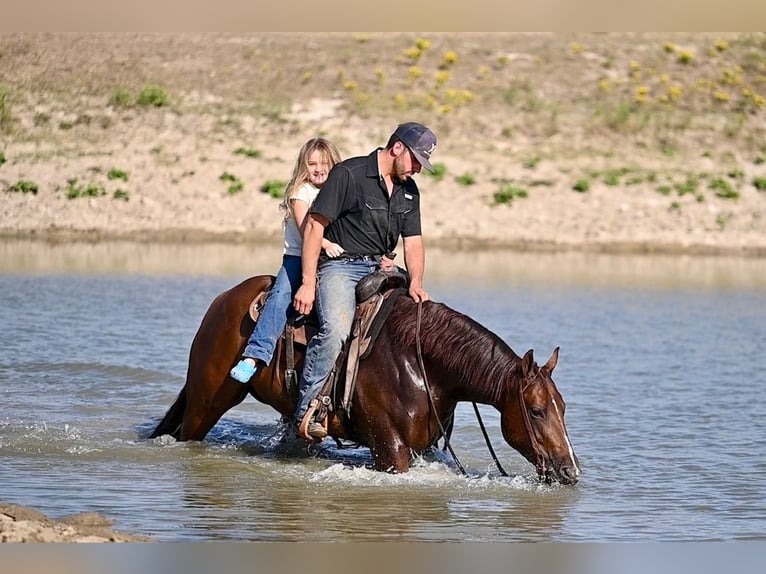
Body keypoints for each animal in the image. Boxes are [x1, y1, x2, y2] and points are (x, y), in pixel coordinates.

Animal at [150, 276, 584, 486]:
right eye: (536, 410)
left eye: (563, 408)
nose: (570, 472)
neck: (422, 363)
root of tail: (224, 300)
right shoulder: (390, 449)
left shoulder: (423, 447)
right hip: (206, 404)